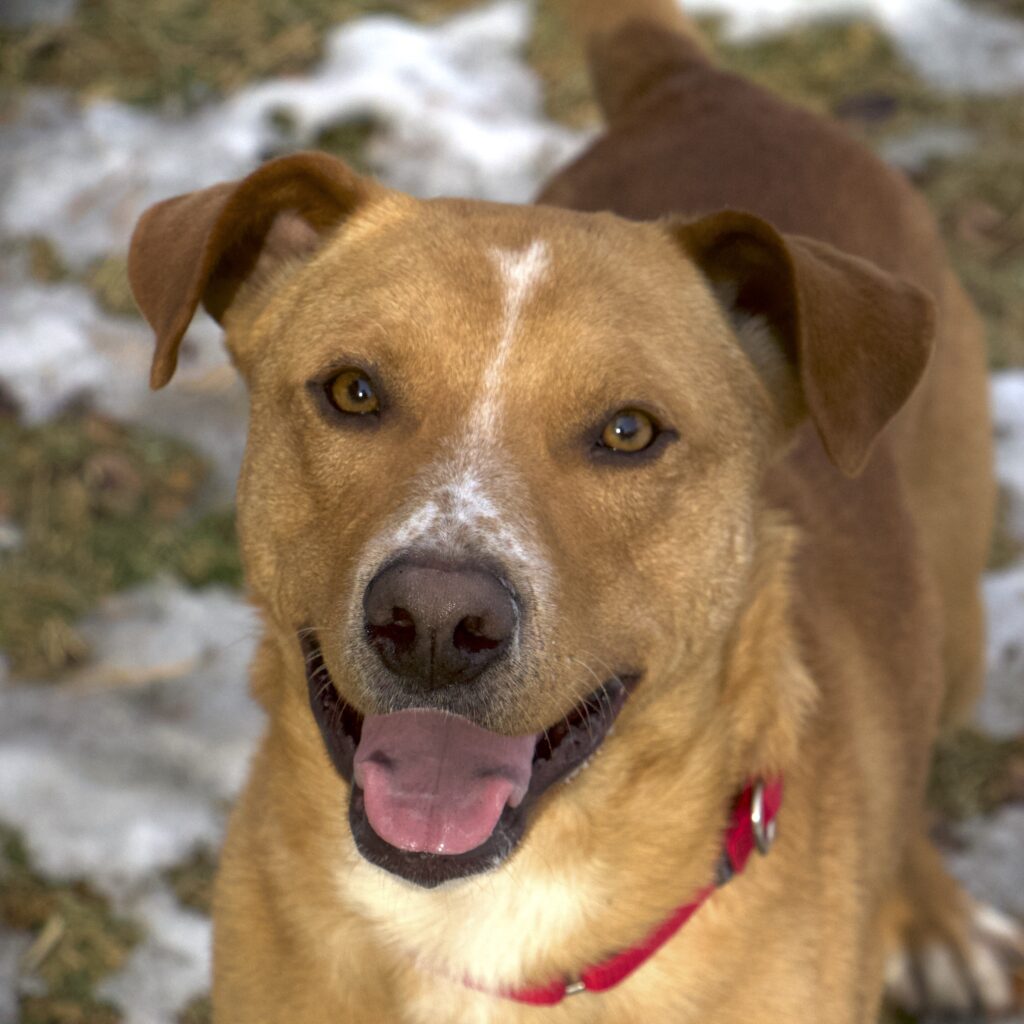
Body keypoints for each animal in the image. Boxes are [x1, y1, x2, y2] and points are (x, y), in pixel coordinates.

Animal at [130, 0, 1024, 1019]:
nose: (434, 623)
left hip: (957, 629)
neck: (481, 925)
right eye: (353, 391)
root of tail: (704, 84)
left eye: (629, 431)